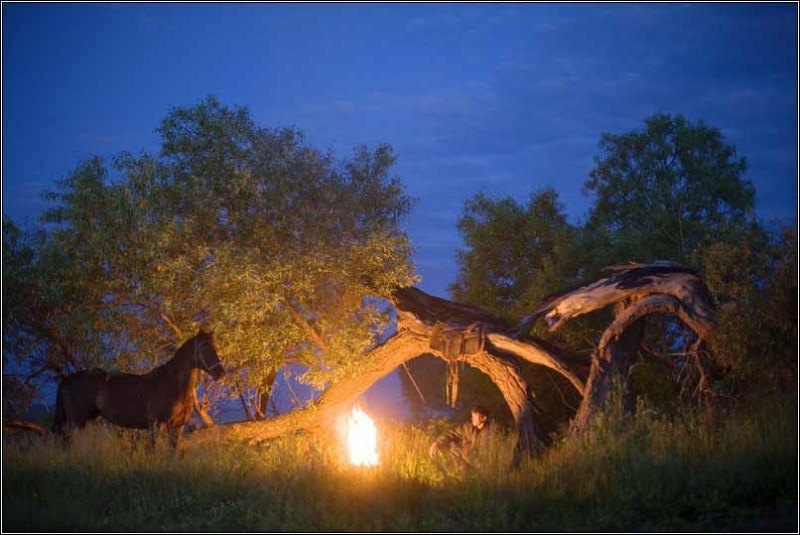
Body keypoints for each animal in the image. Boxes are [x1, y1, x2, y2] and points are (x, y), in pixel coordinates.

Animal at [53, 330, 223, 448]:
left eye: (215, 347)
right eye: (203, 349)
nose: (220, 372)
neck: (173, 386)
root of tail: (67, 379)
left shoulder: (177, 428)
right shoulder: (156, 426)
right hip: (76, 421)